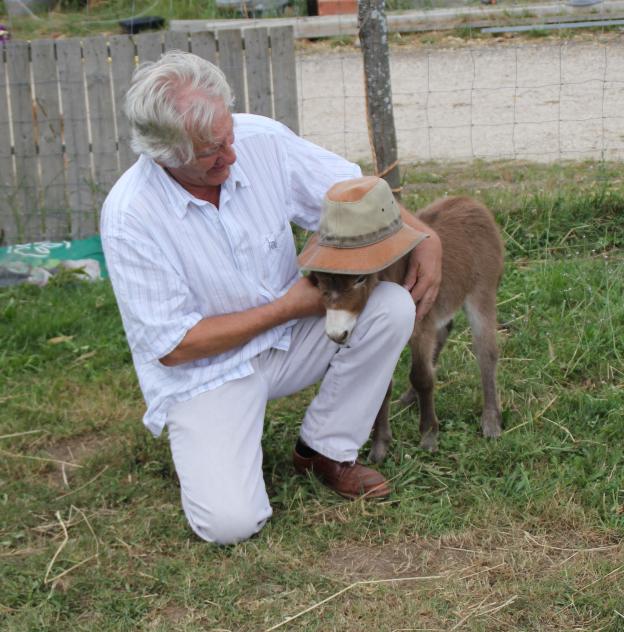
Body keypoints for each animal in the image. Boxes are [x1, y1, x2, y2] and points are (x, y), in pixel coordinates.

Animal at [314, 195, 504, 462]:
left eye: (360, 279)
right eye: (319, 281)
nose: (336, 334)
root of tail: (469, 201)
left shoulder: (421, 330)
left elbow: (422, 377)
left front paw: (429, 436)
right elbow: (384, 386)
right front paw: (380, 446)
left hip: (482, 292)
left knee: (486, 352)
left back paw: (491, 421)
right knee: (445, 332)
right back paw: (409, 398)